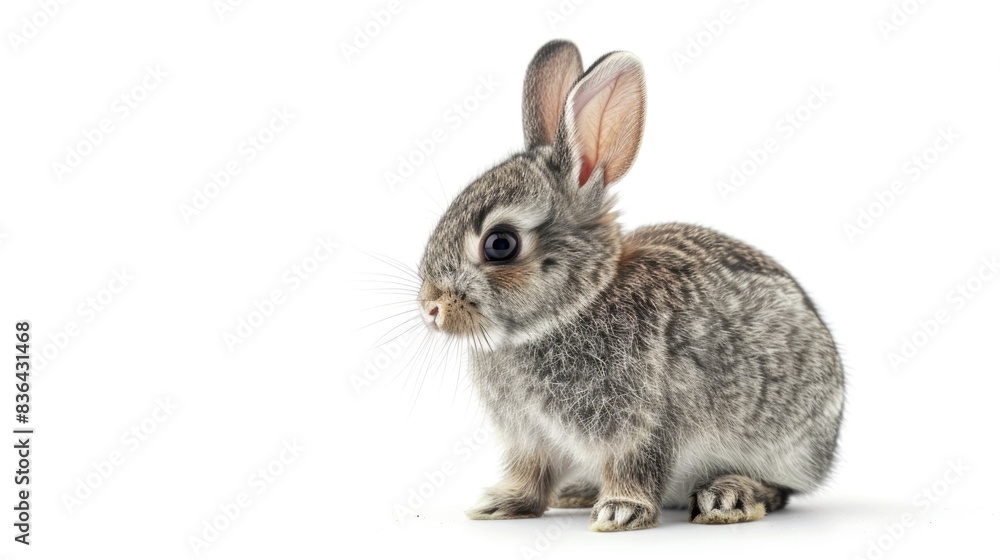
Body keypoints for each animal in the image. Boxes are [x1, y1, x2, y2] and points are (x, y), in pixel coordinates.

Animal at [415, 40, 845, 532]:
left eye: (500, 244)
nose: (430, 307)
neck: (576, 306)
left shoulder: (643, 423)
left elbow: (636, 465)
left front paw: (620, 511)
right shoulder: (532, 439)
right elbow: (531, 473)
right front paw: (501, 504)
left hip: (786, 442)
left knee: (781, 489)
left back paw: (727, 496)